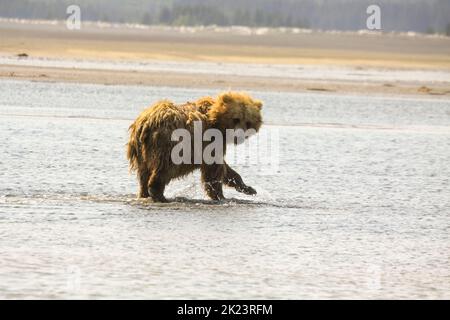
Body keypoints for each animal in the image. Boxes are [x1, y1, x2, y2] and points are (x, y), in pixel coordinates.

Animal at [125, 92, 264, 202]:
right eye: (236, 119)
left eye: (248, 122)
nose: (238, 136)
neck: (216, 120)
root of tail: (145, 123)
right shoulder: (210, 139)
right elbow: (213, 170)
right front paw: (221, 197)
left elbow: (224, 168)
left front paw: (248, 188)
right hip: (169, 144)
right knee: (164, 168)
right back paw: (160, 195)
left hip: (140, 150)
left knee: (143, 173)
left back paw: (144, 194)